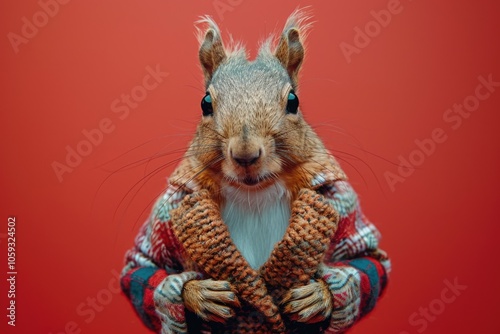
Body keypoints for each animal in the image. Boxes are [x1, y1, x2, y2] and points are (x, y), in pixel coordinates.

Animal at [121, 8, 390, 334]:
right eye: (205, 103)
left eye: (293, 101)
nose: (245, 154)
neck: (255, 191)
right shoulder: (167, 208)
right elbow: (143, 266)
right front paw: (200, 295)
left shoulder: (345, 203)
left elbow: (367, 260)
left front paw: (318, 296)